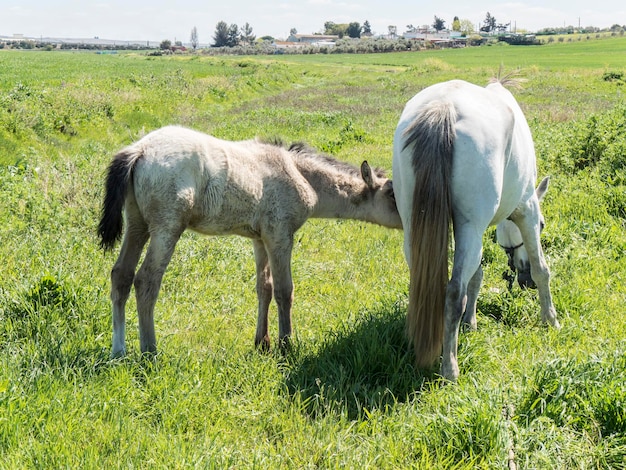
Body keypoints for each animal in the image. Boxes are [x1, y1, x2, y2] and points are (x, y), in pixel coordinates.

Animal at [97, 125, 400, 356]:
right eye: (391, 194)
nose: (408, 217)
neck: (299, 174)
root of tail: (139, 150)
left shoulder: (260, 239)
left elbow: (263, 287)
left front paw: (262, 343)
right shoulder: (280, 235)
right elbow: (284, 290)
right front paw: (286, 345)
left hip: (137, 224)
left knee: (121, 275)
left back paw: (118, 351)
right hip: (166, 228)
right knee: (146, 280)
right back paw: (150, 351)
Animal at [392, 79, 560, 382]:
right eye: (543, 224)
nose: (523, 281)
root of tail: (443, 108)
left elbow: (477, 275)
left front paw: (470, 322)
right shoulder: (527, 208)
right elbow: (542, 269)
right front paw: (550, 319)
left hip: (416, 228)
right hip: (470, 227)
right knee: (453, 292)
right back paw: (450, 368)